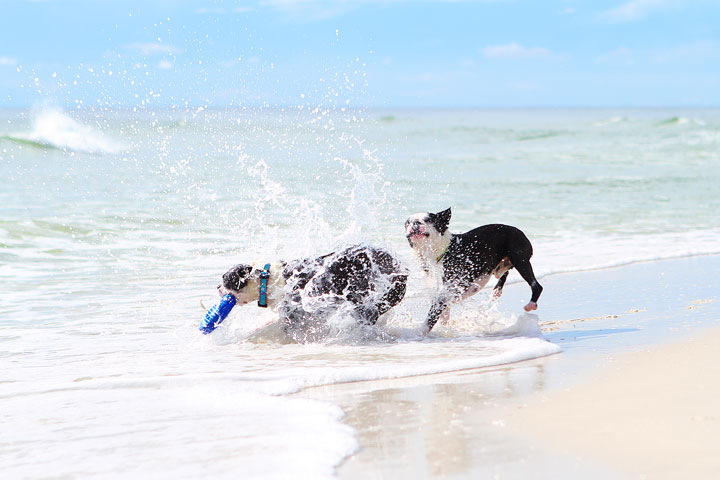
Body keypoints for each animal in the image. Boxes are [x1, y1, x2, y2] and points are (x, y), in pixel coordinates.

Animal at [404, 206, 540, 334]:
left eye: (428, 220)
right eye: (407, 223)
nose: (415, 223)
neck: (437, 250)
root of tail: (520, 231)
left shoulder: (450, 289)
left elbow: (432, 314)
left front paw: (420, 332)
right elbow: (441, 308)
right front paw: (443, 321)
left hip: (519, 259)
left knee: (536, 285)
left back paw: (530, 304)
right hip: (501, 264)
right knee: (504, 273)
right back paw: (496, 292)